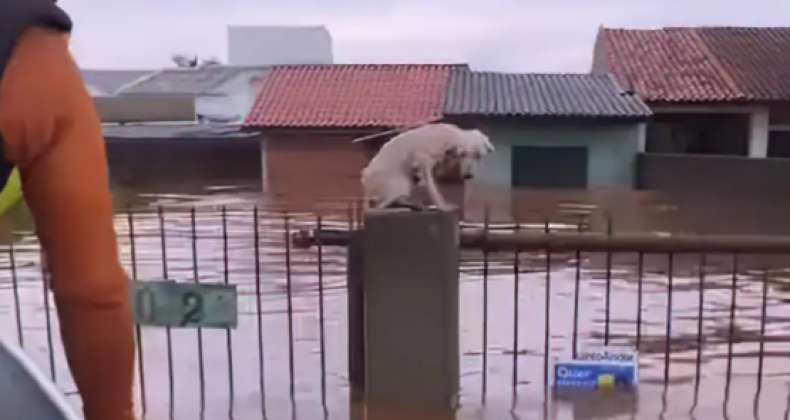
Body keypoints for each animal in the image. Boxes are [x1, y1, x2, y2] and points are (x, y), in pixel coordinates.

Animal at [364, 123, 496, 212]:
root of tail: (365, 180)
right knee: (381, 206)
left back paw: (414, 204)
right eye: (462, 154)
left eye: (478, 156)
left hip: (406, 184)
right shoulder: (423, 160)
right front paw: (443, 206)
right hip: (401, 184)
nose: (468, 175)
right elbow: (433, 189)